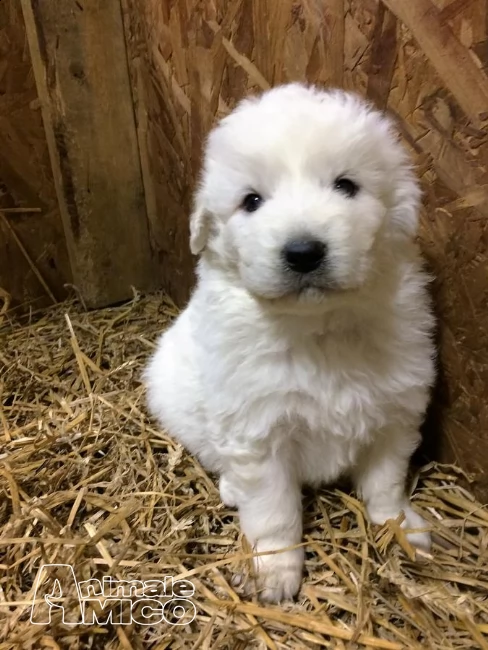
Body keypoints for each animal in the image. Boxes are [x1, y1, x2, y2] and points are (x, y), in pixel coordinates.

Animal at [144, 83, 434, 600]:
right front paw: (275, 573)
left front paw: (402, 528)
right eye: (252, 200)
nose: (303, 252)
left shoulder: (396, 413)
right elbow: (274, 512)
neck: (319, 327)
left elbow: (386, 481)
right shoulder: (258, 435)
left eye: (346, 186)